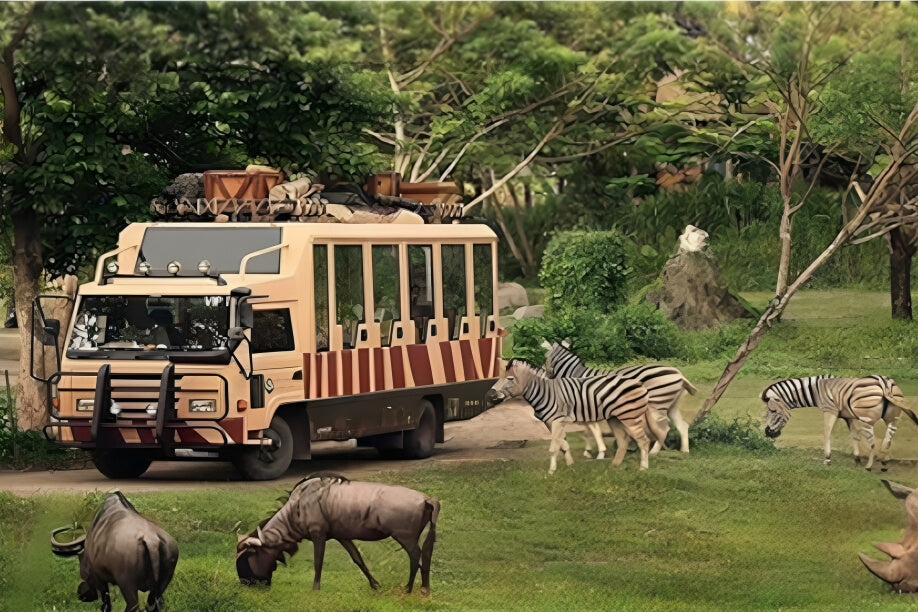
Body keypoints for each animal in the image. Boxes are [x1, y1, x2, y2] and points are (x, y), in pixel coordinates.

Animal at [488, 359, 665, 472]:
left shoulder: (557, 421)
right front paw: (570, 465)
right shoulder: (552, 423)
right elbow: (563, 445)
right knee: (623, 440)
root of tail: (640, 384)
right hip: (615, 418)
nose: (490, 396)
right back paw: (615, 466)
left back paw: (643, 468)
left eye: (510, 378)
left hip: (631, 417)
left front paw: (551, 472)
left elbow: (554, 447)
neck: (546, 392)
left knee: (643, 441)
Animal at [544, 341, 697, 455]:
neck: (578, 376)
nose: (546, 375)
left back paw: (653, 452)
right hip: (671, 405)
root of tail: (679, 374)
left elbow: (586, 430)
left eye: (545, 358)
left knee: (664, 428)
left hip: (657, 403)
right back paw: (684, 450)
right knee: (682, 425)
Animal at [761, 375, 918, 470]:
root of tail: (883, 382)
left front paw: (827, 460)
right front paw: (856, 458)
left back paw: (869, 466)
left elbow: (826, 433)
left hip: (867, 419)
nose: (767, 433)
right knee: (889, 439)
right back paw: (884, 464)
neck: (817, 391)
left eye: (773, 411)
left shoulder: (830, 411)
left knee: (873, 441)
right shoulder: (848, 416)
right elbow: (854, 435)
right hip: (892, 418)